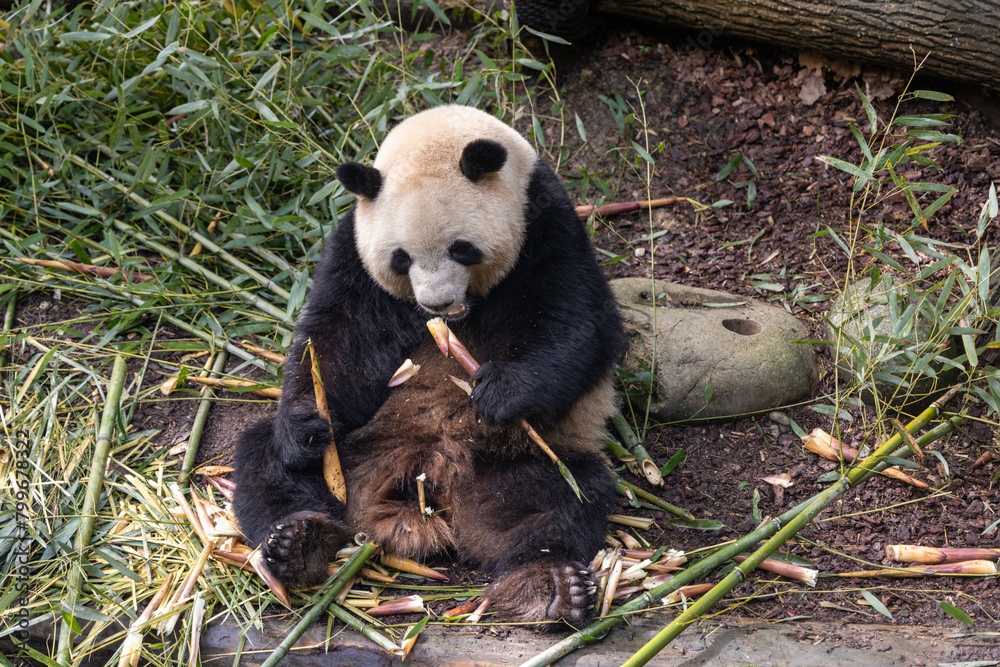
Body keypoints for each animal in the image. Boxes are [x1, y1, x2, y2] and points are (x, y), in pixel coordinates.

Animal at [233, 105, 625, 626]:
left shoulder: (545, 224)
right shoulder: (353, 248)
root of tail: (425, 483)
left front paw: (500, 392)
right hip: (359, 451)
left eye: (462, 247)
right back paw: (298, 542)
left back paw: (550, 586)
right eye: (401, 259)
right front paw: (308, 421)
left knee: (560, 499)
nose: (437, 302)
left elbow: (574, 319)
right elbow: (337, 336)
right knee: (268, 463)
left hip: (514, 457)